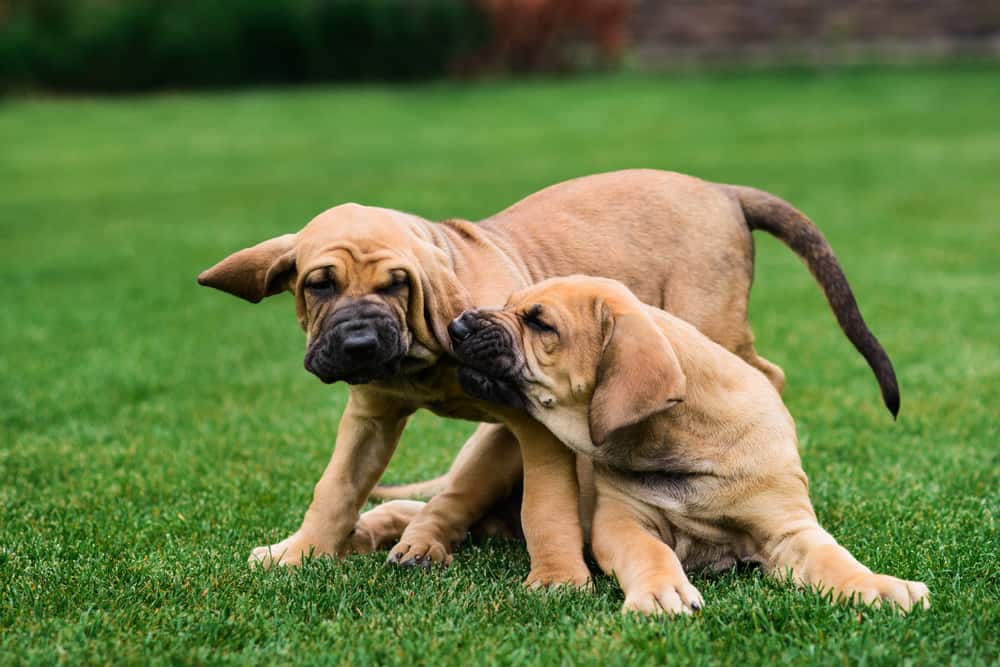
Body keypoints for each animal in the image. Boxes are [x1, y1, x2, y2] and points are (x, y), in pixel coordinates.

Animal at [199, 170, 904, 588]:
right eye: (318, 285)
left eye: (397, 285)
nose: (358, 344)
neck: (423, 359)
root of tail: (721, 188)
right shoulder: (371, 417)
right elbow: (337, 488)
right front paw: (303, 553)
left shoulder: (529, 427)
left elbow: (547, 507)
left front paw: (559, 578)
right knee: (427, 502)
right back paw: (404, 540)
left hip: (708, 319)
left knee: (764, 372)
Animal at [450, 276, 924, 616]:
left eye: (539, 323)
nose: (457, 325)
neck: (685, 445)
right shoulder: (620, 521)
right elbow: (651, 550)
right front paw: (663, 592)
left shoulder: (788, 527)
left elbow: (835, 559)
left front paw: (879, 588)